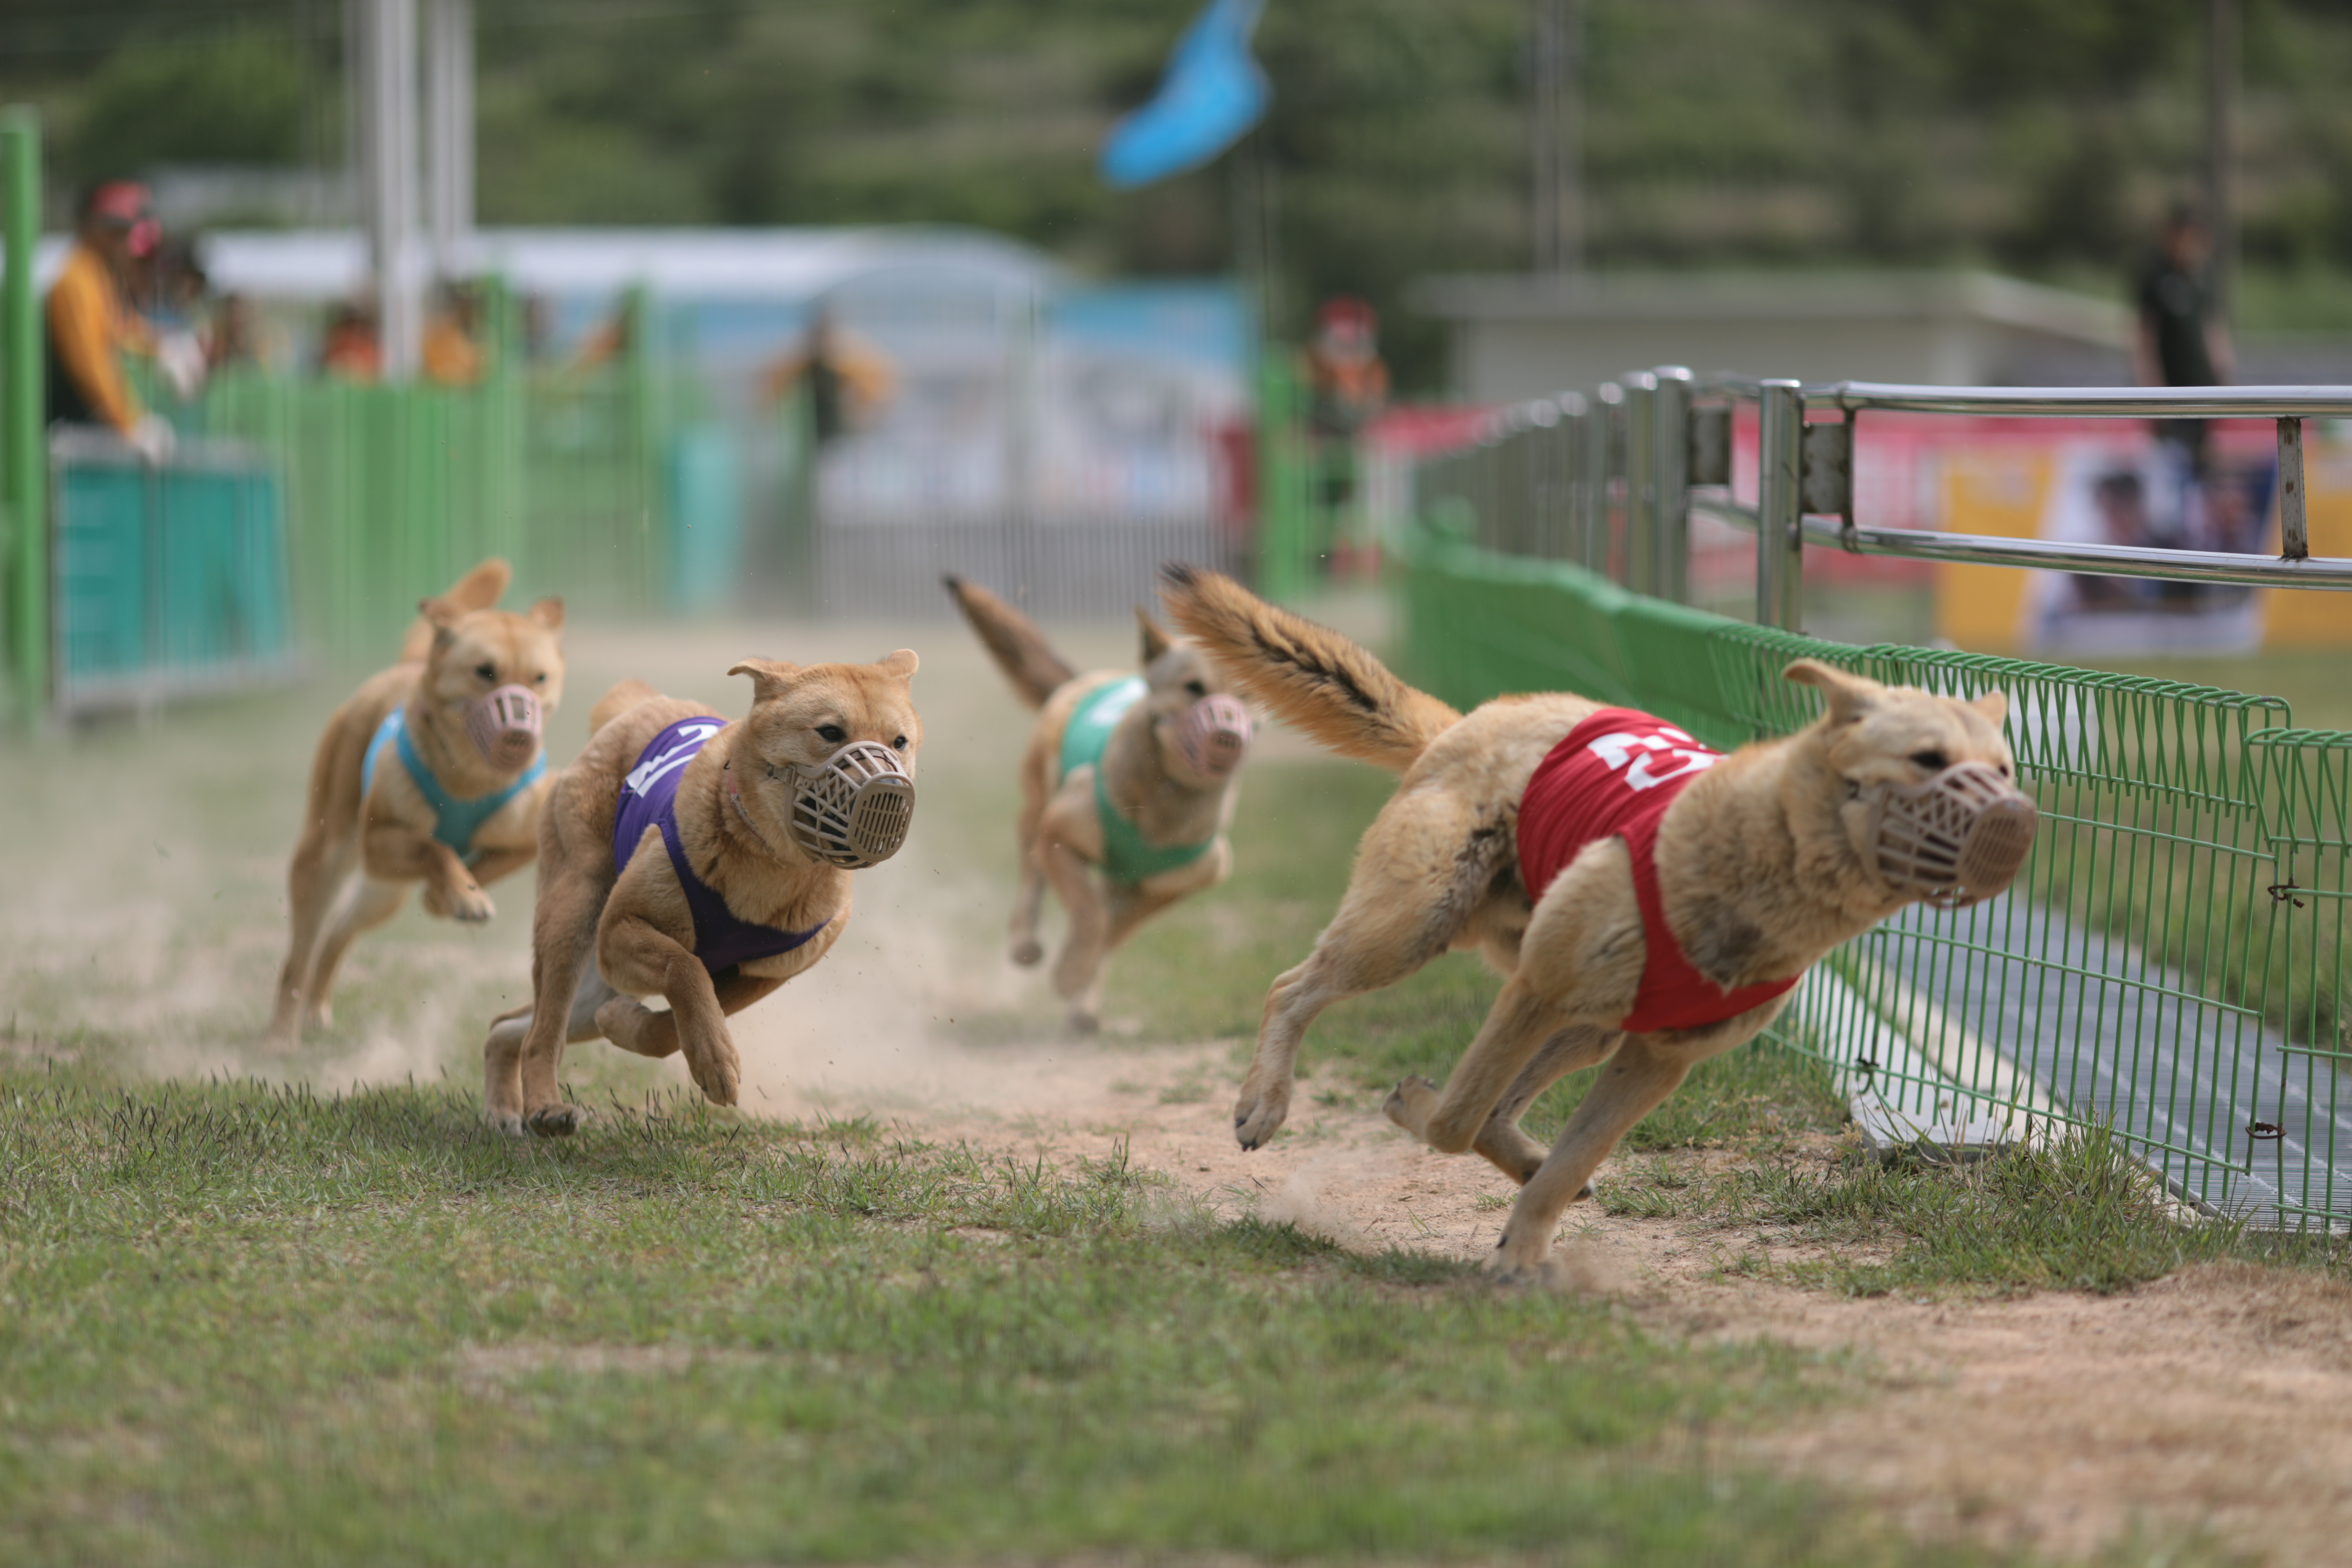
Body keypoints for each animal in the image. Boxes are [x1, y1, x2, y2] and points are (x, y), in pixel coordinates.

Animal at [268, 557, 564, 1048]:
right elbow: (436, 847)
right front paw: (462, 894)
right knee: (299, 954)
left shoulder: (526, 841)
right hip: (329, 853)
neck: (469, 780)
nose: (520, 732)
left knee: (338, 932)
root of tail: (404, 669)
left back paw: (316, 1010)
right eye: (485, 671)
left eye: (539, 679)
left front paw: (451, 897)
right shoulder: (378, 841)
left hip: (384, 894)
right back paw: (280, 1034)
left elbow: (483, 865)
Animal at [479, 653, 917, 1142]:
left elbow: (675, 1024)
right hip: (575, 911)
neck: (770, 865)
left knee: (507, 1026)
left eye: (900, 742)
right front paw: (713, 1059)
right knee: (542, 1033)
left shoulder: (764, 974)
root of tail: (643, 705)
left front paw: (632, 1027)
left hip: (592, 989)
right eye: (830, 732)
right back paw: (545, 1107)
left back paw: (503, 1110)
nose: (890, 789)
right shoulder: (617, 931)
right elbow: (685, 967)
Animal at [945, 571, 1260, 1034]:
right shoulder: (1059, 833)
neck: (1166, 799)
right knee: (1031, 873)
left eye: (1250, 695)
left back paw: (1083, 1006)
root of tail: (1086, 679)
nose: (1228, 734)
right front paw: (1071, 971)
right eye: (1192, 688)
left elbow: (1115, 926)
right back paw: (1026, 940)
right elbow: (1091, 914)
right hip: (1038, 803)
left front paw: (1080, 975)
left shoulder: (1194, 875)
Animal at [1167, 571, 2032, 1279]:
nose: (2015, 820)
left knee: (1504, 1112)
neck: (1753, 862)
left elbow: (1552, 1155)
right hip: (1416, 926)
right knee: (1294, 987)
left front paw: (1522, 1252)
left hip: (1592, 1024)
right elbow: (1449, 1117)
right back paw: (1263, 1103)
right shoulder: (1537, 990)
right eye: (1926, 758)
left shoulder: (1653, 1060)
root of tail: (1467, 721)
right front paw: (1411, 1104)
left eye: (2004, 768)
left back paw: (1523, 1160)